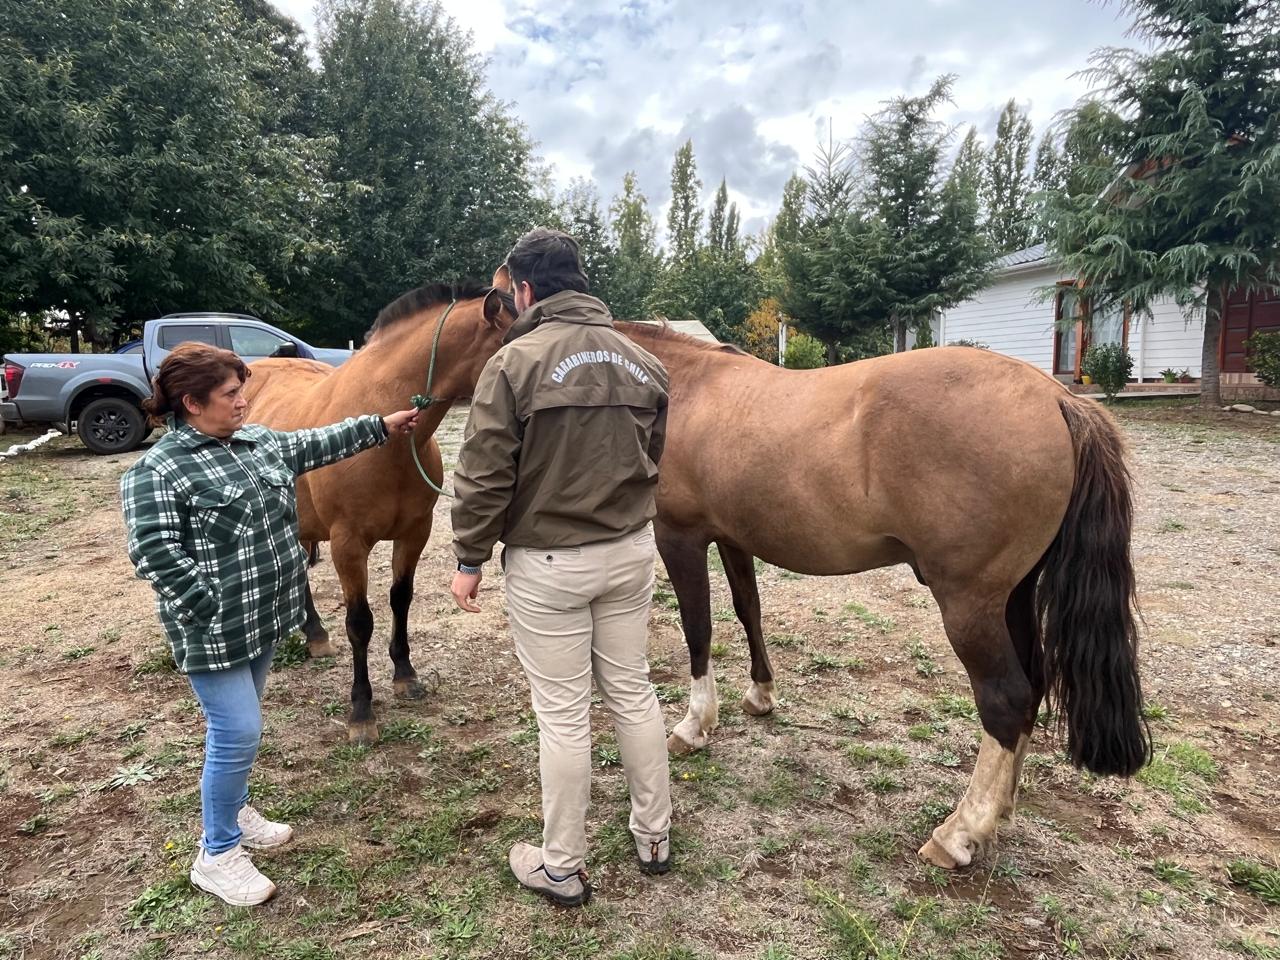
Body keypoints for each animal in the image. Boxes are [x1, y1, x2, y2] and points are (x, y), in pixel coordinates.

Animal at [243, 282, 515, 744]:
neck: (387, 440)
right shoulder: (348, 545)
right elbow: (360, 622)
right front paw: (361, 711)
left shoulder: (414, 533)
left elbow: (400, 600)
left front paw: (404, 675)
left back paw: (314, 635)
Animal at [608, 321, 1152, 869]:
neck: (690, 387)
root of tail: (1058, 398)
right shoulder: (734, 539)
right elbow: (749, 611)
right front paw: (761, 694)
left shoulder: (680, 537)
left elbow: (698, 628)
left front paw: (694, 724)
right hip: (1012, 597)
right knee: (1033, 688)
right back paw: (1000, 813)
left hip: (970, 606)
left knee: (1006, 698)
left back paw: (960, 831)